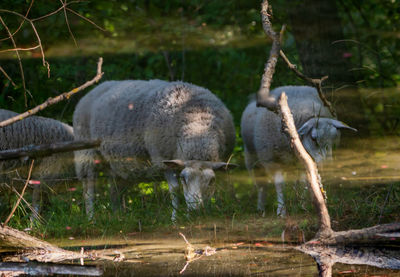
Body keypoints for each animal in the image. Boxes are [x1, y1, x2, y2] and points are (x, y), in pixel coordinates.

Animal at [73, 78, 236, 219]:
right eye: (183, 178)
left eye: (211, 180)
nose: (196, 210)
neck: (198, 128)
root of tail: (97, 87)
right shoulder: (163, 159)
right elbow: (175, 190)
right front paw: (175, 219)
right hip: (86, 154)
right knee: (89, 189)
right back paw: (91, 218)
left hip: (119, 164)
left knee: (114, 190)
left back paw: (118, 217)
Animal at [241, 85, 356, 216]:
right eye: (313, 138)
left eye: (334, 140)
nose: (328, 164)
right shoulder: (273, 160)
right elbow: (279, 184)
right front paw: (281, 210)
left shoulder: (303, 162)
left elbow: (303, 182)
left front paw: (303, 206)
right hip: (252, 159)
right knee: (261, 184)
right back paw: (261, 207)